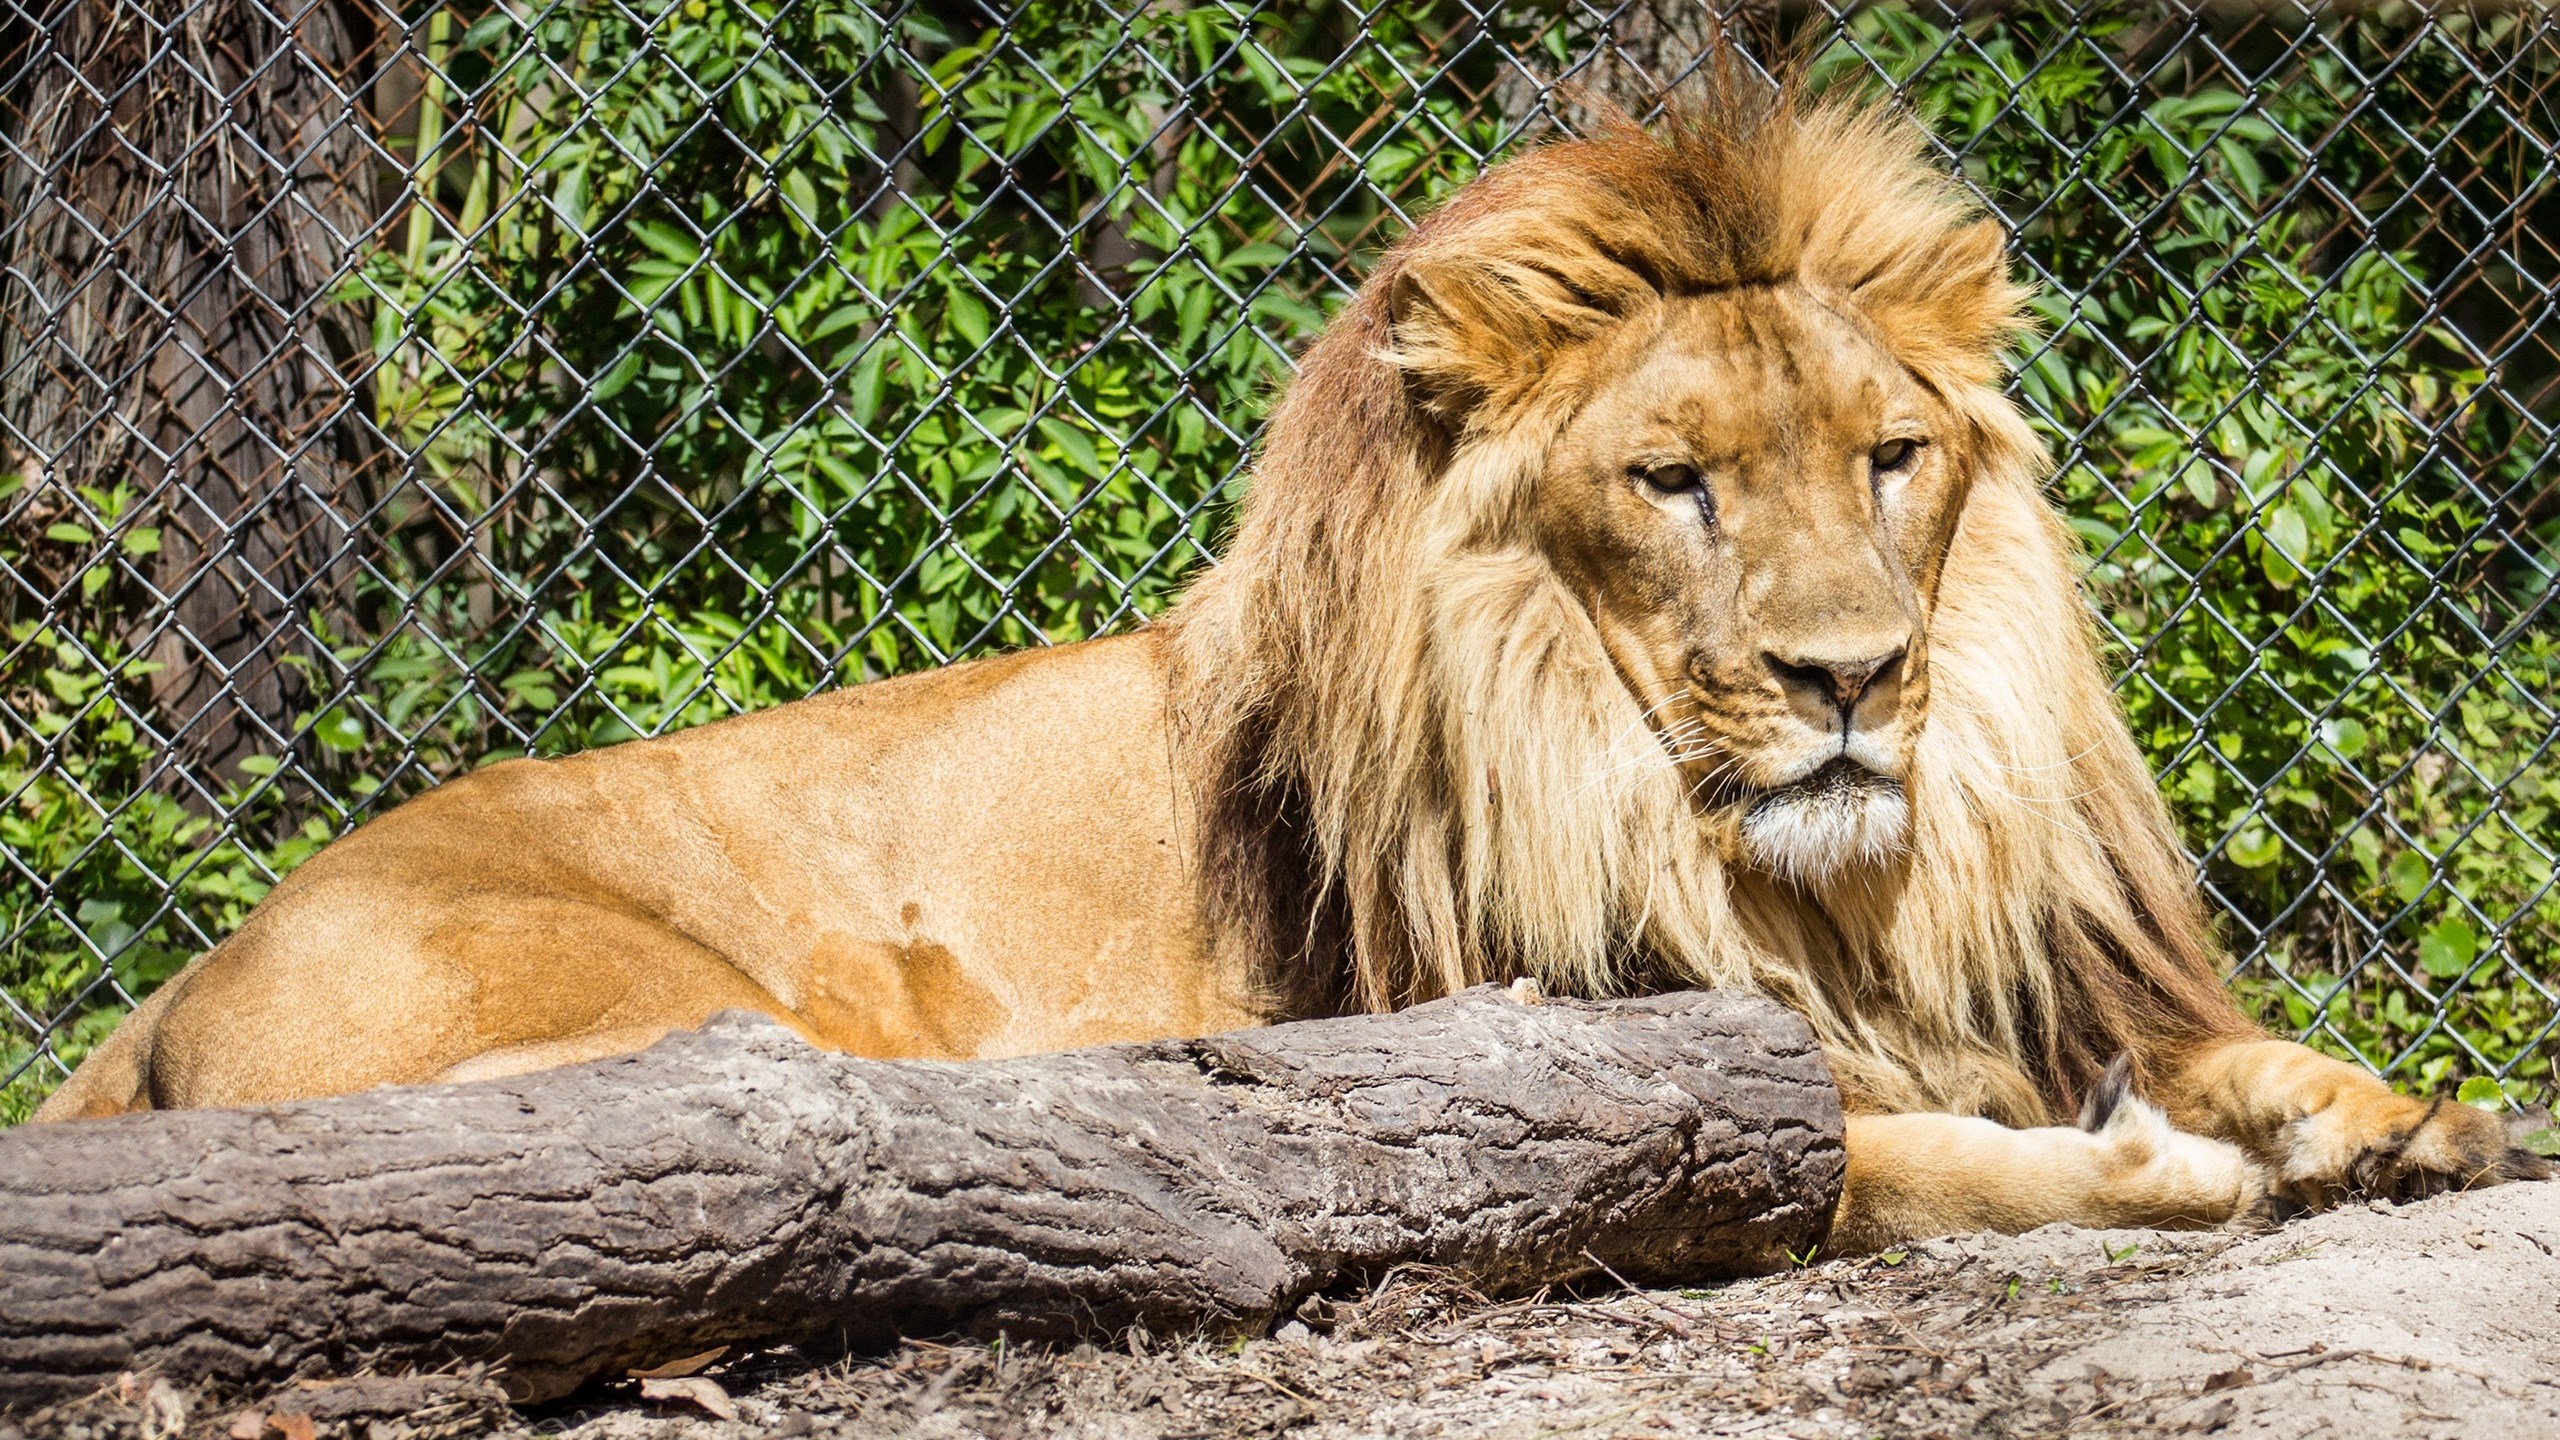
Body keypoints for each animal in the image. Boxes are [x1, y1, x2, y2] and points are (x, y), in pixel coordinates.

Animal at [38, 87, 2546, 1251]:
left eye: (1888, 455)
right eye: (1669, 483)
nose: (1852, 676)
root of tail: (165, 996)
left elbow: (2236, 1055)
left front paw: (2392, 1115)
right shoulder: (1584, 1059)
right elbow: (1893, 1155)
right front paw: (2152, 1170)